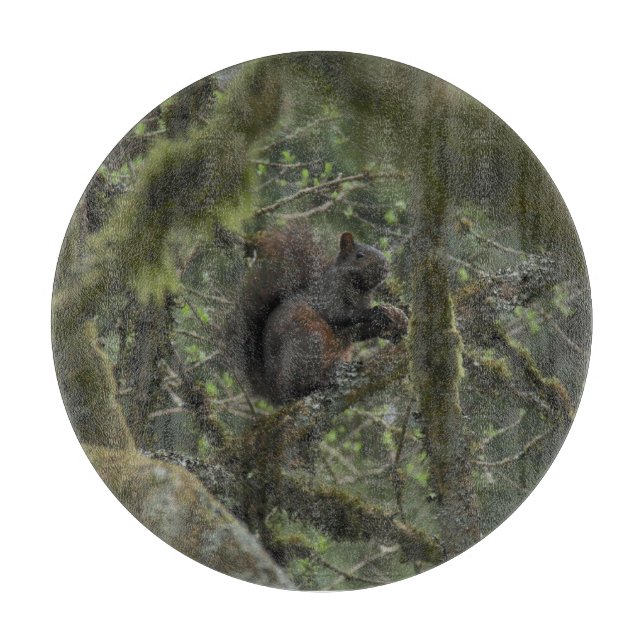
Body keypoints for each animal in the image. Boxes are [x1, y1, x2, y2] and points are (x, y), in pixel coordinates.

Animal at [229, 224, 408, 403]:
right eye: (359, 255)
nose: (385, 266)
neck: (359, 291)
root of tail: (275, 395)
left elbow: (358, 332)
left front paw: (395, 323)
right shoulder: (328, 295)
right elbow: (338, 315)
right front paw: (375, 311)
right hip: (310, 341)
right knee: (299, 387)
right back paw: (320, 381)